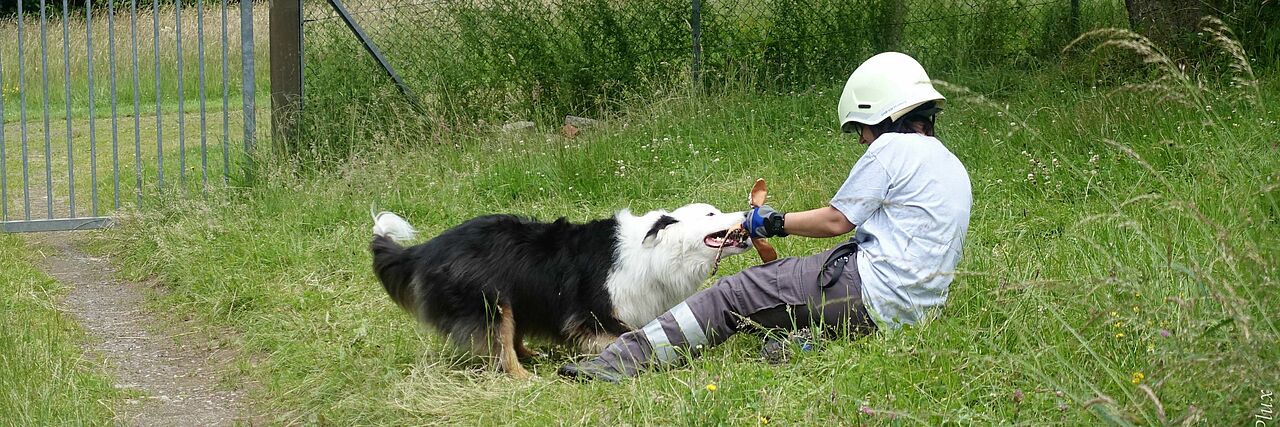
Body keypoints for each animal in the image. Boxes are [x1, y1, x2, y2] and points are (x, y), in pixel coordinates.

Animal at [368, 203, 747, 375]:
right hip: (491, 302)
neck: (654, 252)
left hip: (515, 301)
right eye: (711, 214)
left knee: (512, 338)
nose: (746, 213)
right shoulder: (594, 315)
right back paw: (524, 377)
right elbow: (621, 336)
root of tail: (425, 250)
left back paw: (533, 356)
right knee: (500, 347)